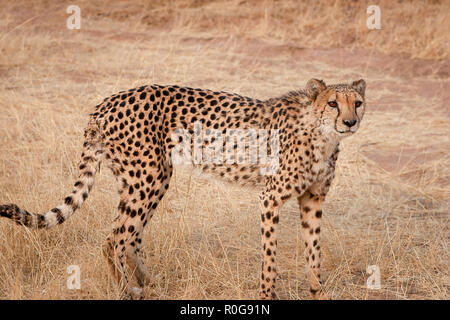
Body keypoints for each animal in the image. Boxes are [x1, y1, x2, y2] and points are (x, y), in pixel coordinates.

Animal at [0, 78, 366, 300]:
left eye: (358, 103)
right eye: (333, 103)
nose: (350, 122)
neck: (322, 133)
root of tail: (106, 102)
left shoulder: (313, 198)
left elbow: (313, 250)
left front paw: (318, 291)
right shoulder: (270, 198)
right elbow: (270, 255)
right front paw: (267, 294)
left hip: (150, 178)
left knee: (130, 236)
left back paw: (149, 282)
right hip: (147, 177)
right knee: (114, 238)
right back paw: (129, 291)